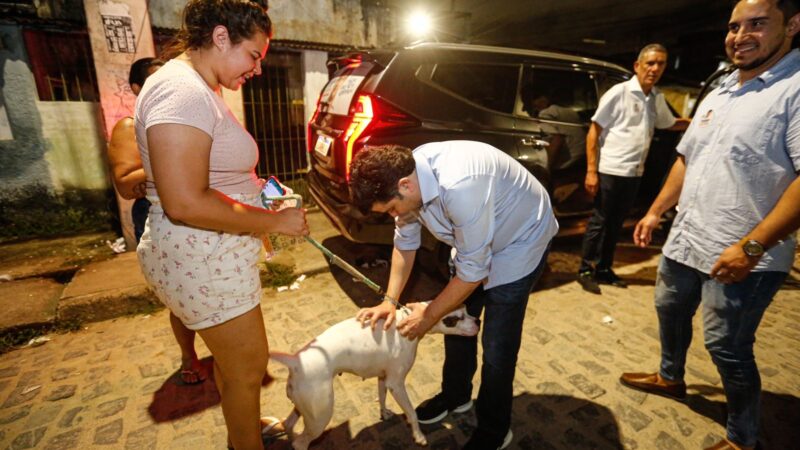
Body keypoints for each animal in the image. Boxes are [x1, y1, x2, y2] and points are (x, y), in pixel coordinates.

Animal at [272, 304, 478, 448]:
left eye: (466, 310)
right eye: (456, 318)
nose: (478, 321)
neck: (406, 322)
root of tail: (296, 360)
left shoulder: (383, 378)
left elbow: (382, 396)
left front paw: (384, 413)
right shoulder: (397, 384)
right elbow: (411, 413)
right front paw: (419, 436)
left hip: (304, 409)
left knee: (288, 425)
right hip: (320, 417)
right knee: (300, 443)